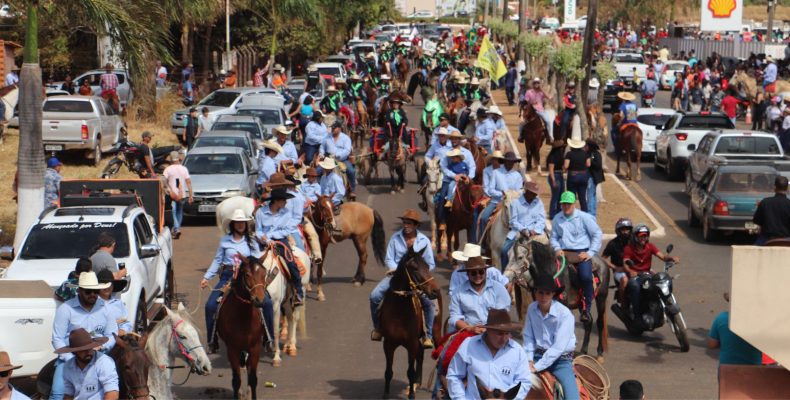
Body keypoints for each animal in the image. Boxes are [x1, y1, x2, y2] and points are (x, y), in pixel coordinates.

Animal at [217, 256, 272, 400]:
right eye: (247, 274)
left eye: (264, 274)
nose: (260, 300)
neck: (243, 316)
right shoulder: (232, 349)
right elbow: (236, 380)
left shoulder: (255, 347)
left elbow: (253, 379)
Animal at [378, 245, 442, 398]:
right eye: (414, 268)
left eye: (427, 266)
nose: (435, 290)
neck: (399, 311)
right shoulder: (388, 344)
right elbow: (388, 371)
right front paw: (386, 394)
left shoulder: (411, 343)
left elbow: (410, 372)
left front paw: (411, 395)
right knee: (421, 353)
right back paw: (416, 384)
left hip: (436, 333)